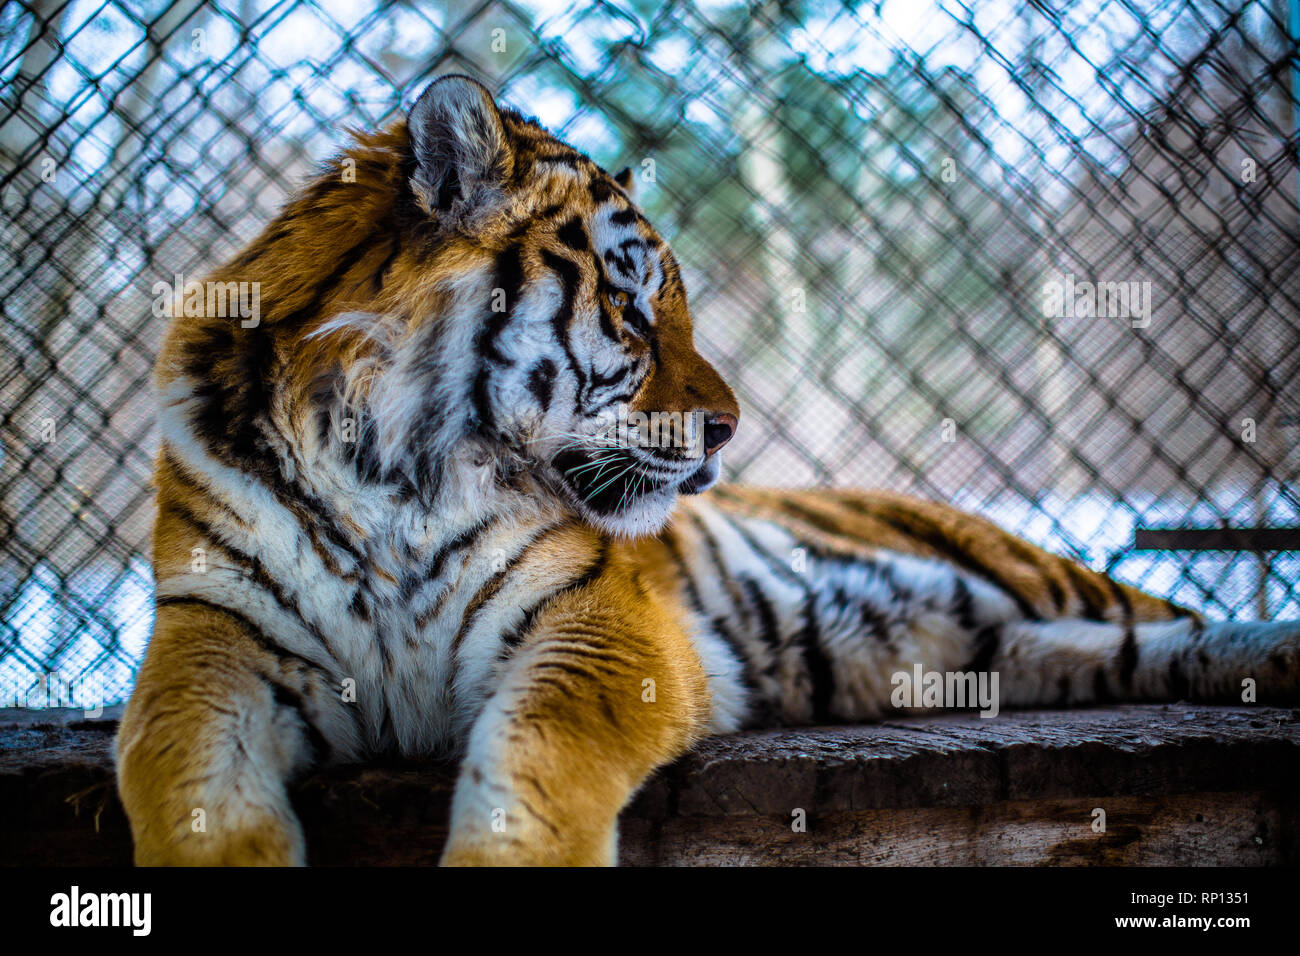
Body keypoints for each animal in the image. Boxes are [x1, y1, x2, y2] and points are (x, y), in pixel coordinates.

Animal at [116, 74, 1300, 868]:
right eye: (632, 306)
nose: (731, 427)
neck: (392, 472)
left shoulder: (595, 619)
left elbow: (536, 757)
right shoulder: (215, 634)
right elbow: (186, 777)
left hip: (1032, 573)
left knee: (1179, 618)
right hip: (1014, 645)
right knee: (1153, 648)